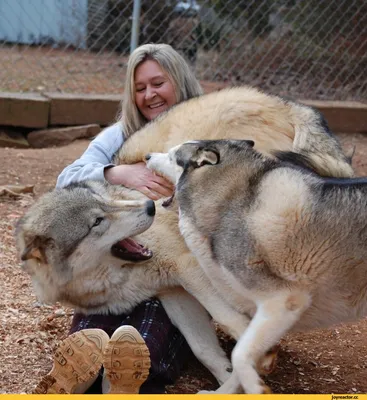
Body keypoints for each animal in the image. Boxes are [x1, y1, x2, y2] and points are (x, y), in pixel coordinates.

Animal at [147, 140, 367, 394]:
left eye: (172, 156)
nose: (147, 156)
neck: (229, 200)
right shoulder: (259, 314)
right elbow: (241, 355)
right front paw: (226, 392)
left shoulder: (283, 301)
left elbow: (239, 354)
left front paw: (256, 389)